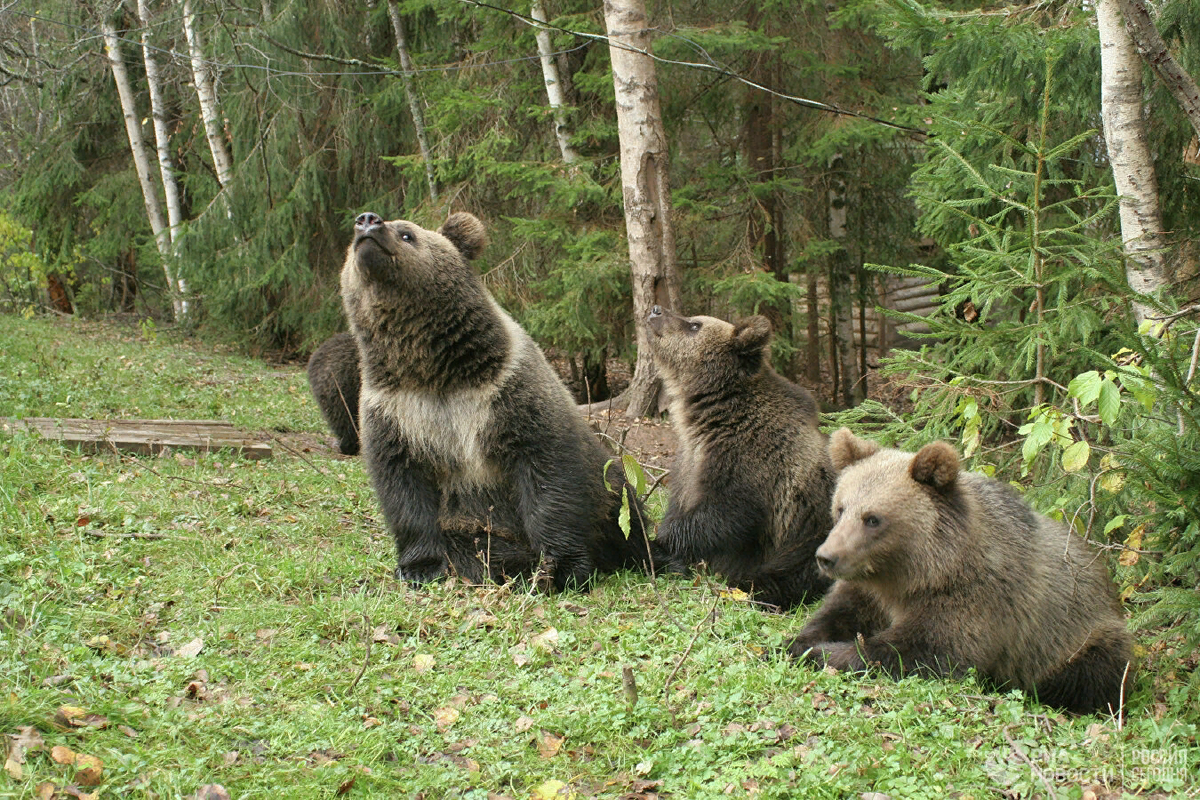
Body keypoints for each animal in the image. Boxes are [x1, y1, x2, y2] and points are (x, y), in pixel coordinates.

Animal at [338, 211, 657, 587]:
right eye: (352, 240)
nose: (367, 221)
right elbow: (403, 488)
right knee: (476, 545)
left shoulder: (507, 394)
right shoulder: (396, 411)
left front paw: (560, 568)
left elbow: (549, 476)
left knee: (623, 509)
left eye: (407, 234)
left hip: (607, 487)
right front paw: (419, 566)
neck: (434, 371)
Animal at [648, 304, 835, 606]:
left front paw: (664, 543)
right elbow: (681, 502)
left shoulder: (750, 462)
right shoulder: (689, 460)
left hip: (818, 532)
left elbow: (725, 514)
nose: (655, 310)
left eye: (695, 325)